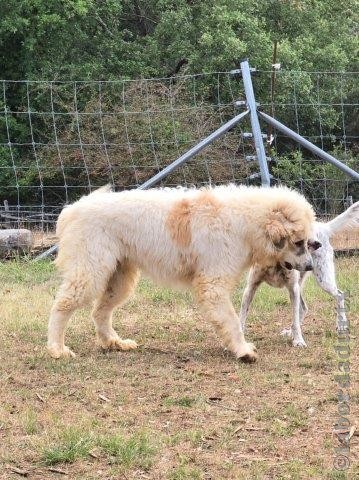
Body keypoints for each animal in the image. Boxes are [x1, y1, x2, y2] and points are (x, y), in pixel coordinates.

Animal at [47, 186, 316, 362]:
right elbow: (231, 320)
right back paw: (57, 349)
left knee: (100, 311)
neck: (244, 220)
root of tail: (73, 209)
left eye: (307, 243)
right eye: (298, 242)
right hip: (89, 272)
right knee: (61, 306)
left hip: (120, 278)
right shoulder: (213, 285)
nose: (311, 266)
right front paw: (243, 350)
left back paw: (114, 343)